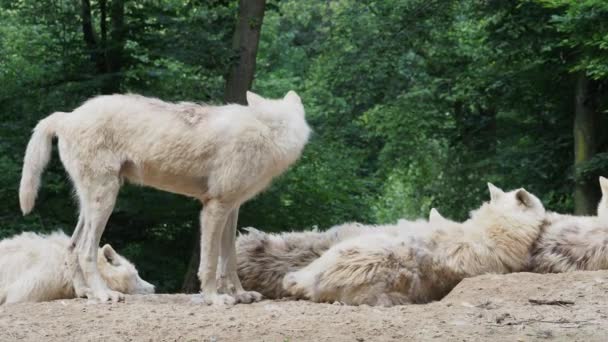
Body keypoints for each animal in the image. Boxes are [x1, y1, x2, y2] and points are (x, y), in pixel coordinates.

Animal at [19, 91, 312, 304]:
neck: (265, 134)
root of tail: (67, 116)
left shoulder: (232, 209)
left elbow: (228, 260)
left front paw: (240, 294)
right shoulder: (214, 209)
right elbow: (210, 263)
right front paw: (214, 298)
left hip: (90, 204)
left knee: (71, 247)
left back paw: (86, 293)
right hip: (105, 201)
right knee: (85, 250)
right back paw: (104, 295)